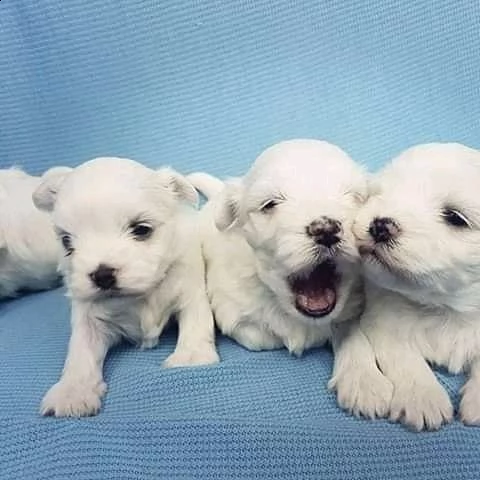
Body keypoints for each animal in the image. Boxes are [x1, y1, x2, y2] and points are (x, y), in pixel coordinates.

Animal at [33, 158, 219, 416]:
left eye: (141, 229)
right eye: (66, 241)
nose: (102, 275)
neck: (142, 294)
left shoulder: (190, 292)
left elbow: (196, 324)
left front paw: (191, 357)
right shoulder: (88, 318)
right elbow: (80, 352)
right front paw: (73, 391)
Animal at [344, 142, 480, 432]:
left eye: (455, 217)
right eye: (379, 195)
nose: (380, 225)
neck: (443, 306)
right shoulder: (384, 324)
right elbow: (405, 358)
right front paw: (422, 396)